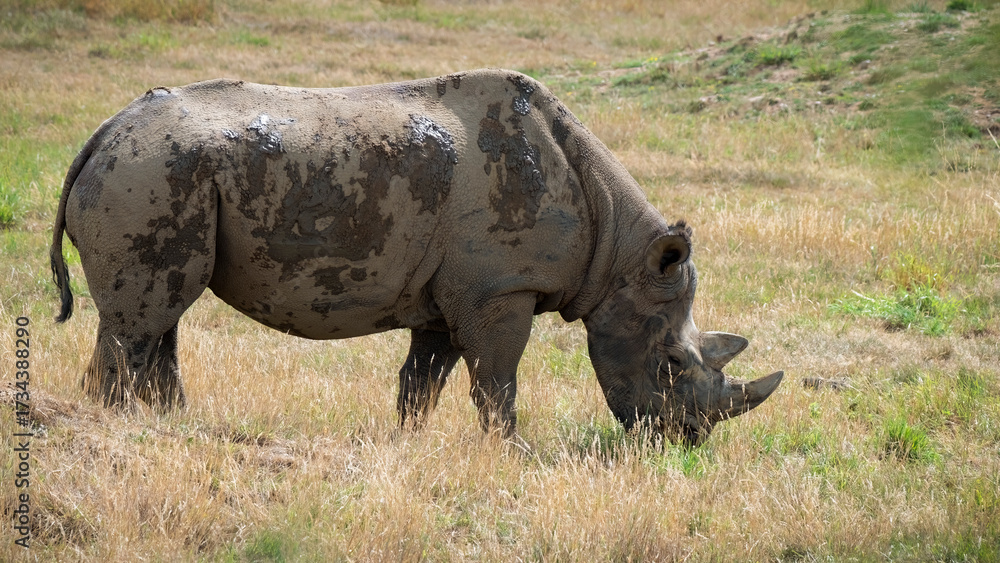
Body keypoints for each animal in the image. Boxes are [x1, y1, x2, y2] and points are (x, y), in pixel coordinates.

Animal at [51, 69, 782, 445]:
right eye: (672, 363)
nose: (685, 442)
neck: (619, 255)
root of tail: (102, 133)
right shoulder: (502, 289)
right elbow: (496, 379)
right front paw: (509, 451)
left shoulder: (454, 295)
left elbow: (422, 381)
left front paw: (411, 445)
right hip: (149, 172)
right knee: (143, 320)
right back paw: (121, 427)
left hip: (154, 171)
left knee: (164, 314)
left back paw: (175, 426)